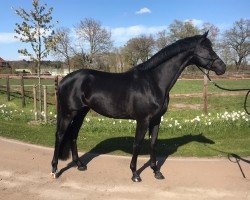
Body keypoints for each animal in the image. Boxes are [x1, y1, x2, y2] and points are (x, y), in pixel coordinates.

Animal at [50, 30, 227, 181]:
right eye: (207, 49)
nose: (222, 67)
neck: (154, 82)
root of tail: (64, 80)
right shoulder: (143, 120)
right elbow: (137, 144)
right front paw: (135, 173)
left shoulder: (156, 120)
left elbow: (153, 143)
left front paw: (156, 171)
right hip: (68, 113)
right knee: (60, 135)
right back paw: (54, 169)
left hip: (81, 112)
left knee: (73, 134)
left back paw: (79, 165)